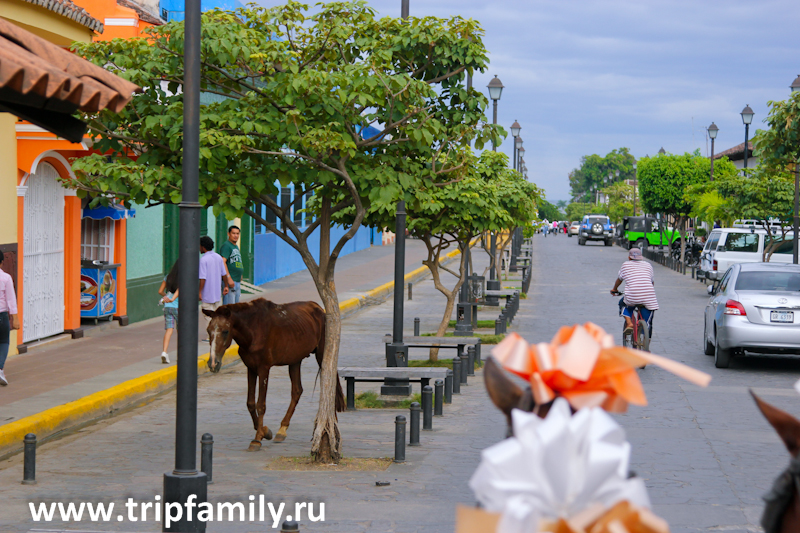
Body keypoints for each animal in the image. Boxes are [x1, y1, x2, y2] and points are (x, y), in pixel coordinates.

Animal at [203, 300, 344, 448]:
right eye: (208, 331)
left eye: (225, 331)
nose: (213, 363)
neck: (253, 330)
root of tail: (318, 308)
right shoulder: (251, 368)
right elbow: (250, 403)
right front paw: (264, 431)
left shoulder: (264, 369)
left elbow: (261, 404)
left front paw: (257, 439)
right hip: (295, 360)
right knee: (297, 390)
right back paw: (282, 429)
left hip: (323, 354)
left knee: (331, 384)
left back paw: (331, 424)